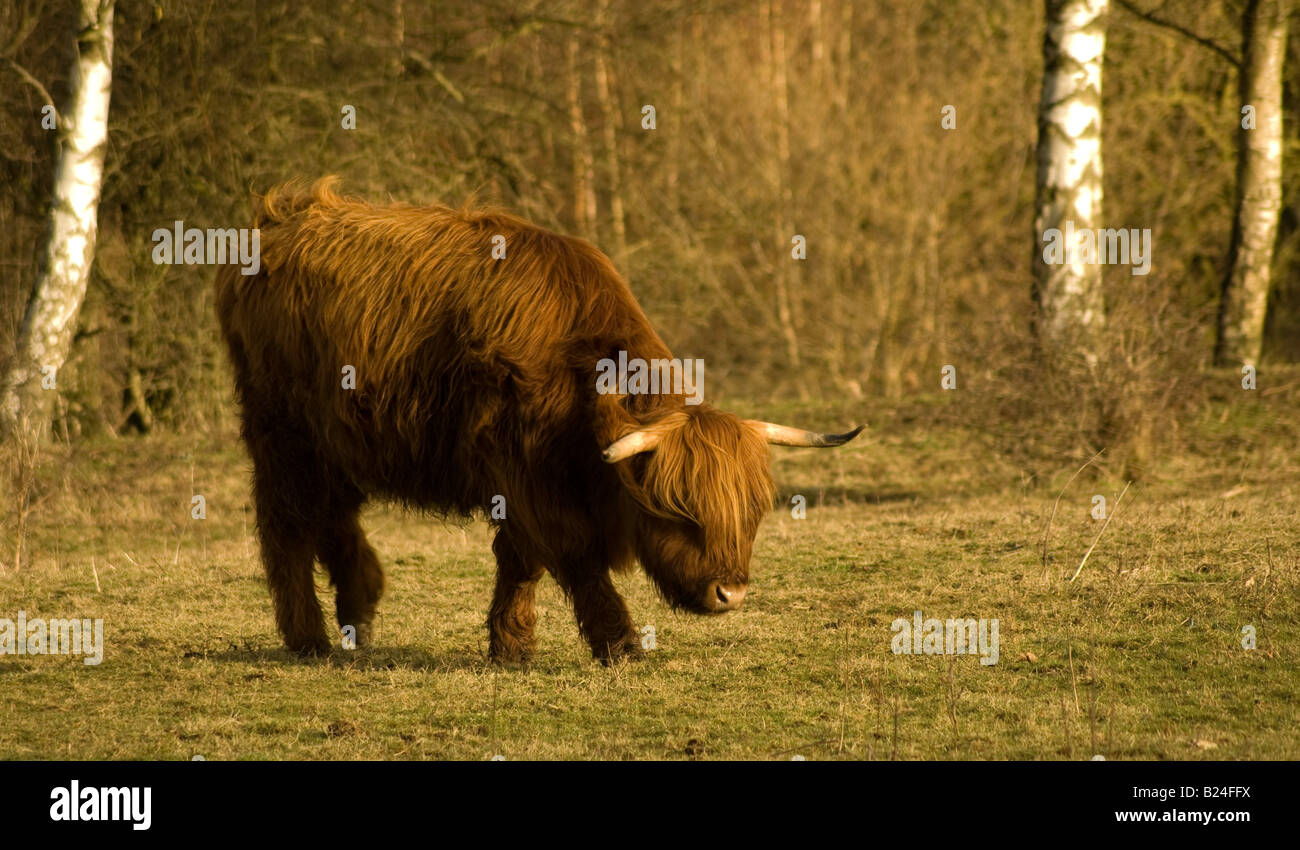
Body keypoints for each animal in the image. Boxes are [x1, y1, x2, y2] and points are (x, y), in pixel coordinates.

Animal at [213, 179, 863, 665]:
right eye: (677, 510)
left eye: (752, 512)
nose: (730, 593)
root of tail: (280, 217)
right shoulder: (524, 472)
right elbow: (570, 557)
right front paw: (619, 643)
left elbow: (520, 560)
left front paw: (510, 646)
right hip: (281, 432)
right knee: (287, 522)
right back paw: (309, 638)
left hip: (337, 438)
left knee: (333, 514)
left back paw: (360, 613)